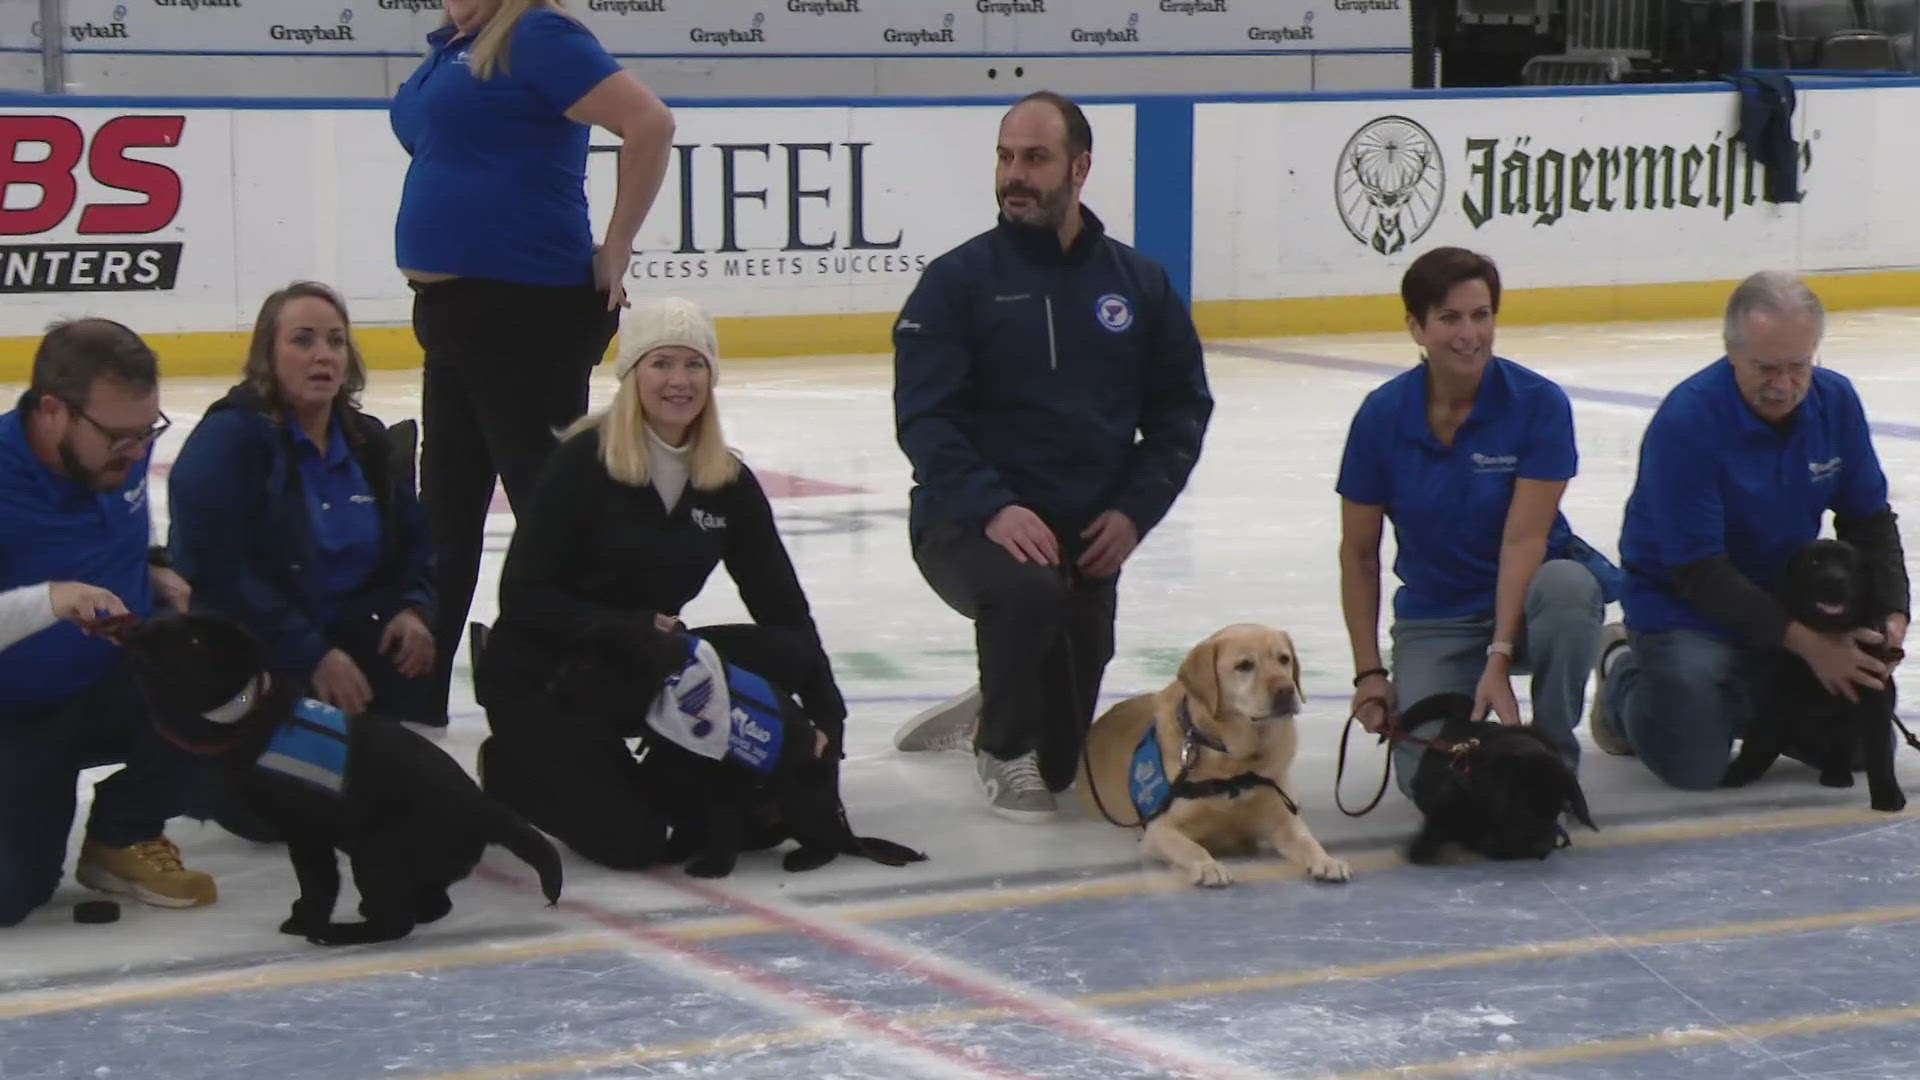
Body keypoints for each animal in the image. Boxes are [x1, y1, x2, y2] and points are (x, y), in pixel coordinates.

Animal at [121, 614, 560, 941]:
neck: (251, 716)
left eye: (193, 641)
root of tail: (484, 808)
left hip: (376, 853)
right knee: (432, 904)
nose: (138, 628)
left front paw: (305, 921)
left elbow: (318, 884)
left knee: (396, 922)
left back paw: (339, 933)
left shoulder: (307, 834)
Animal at [1728, 538, 1904, 807]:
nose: (1834, 579)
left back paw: (1837, 774)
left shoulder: (1874, 697)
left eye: (1849, 564)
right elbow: (1757, 741)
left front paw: (1888, 795)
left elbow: (1879, 751)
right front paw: (1737, 773)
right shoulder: (1775, 695)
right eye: (1814, 562)